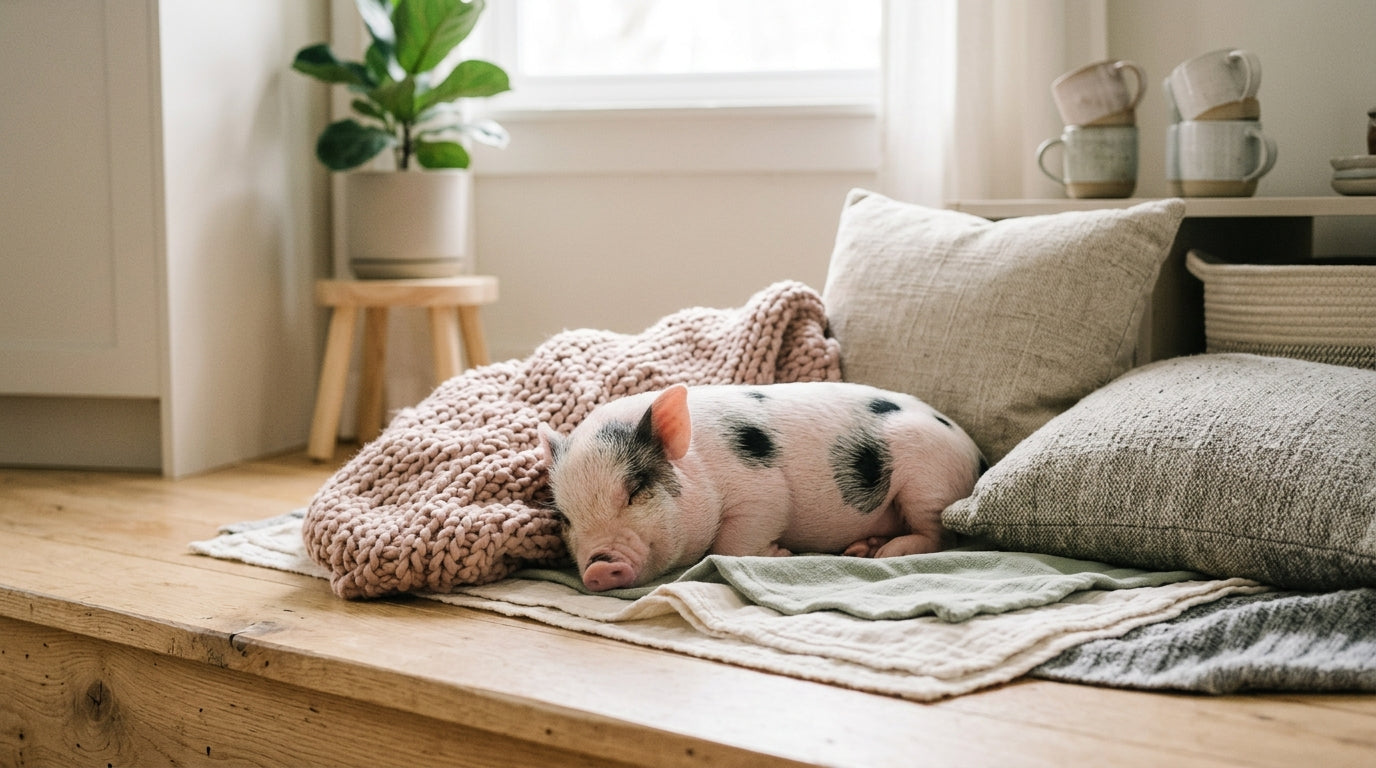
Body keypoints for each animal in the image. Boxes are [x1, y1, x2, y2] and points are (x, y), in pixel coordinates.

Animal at [539, 382, 986, 592]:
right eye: (565, 518)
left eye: (634, 491)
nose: (599, 567)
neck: (701, 465)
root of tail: (975, 453)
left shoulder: (762, 493)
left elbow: (730, 544)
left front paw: (782, 553)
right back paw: (862, 549)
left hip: (928, 479)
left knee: (940, 534)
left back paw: (883, 553)